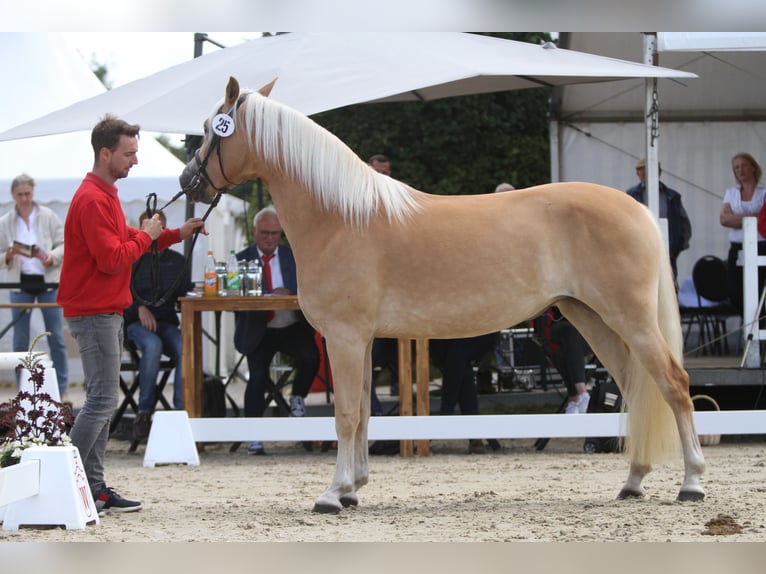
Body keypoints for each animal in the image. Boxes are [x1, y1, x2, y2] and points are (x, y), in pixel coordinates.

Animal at [180, 77, 708, 516]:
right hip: (593, 319)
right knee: (637, 390)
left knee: (674, 385)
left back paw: (692, 484)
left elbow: (345, 415)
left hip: (630, 319)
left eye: (211, 128)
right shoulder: (362, 341)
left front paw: (331, 495)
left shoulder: (345, 338)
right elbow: (365, 412)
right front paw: (353, 489)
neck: (340, 217)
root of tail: (638, 210)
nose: (189, 181)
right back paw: (633, 482)